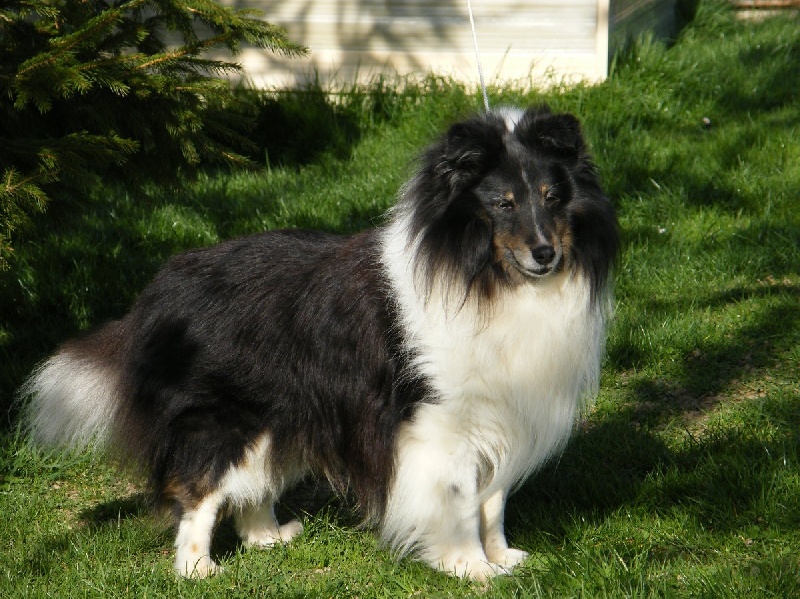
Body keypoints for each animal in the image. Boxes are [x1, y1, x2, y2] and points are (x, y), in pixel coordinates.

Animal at [21, 106, 618, 580]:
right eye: (503, 203)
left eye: (553, 198)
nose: (545, 254)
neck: (487, 278)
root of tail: (158, 291)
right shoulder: (440, 425)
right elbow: (460, 502)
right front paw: (470, 568)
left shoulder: (503, 414)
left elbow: (492, 502)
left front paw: (503, 558)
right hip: (227, 418)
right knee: (199, 491)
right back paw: (197, 569)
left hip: (283, 413)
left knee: (252, 484)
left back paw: (269, 538)